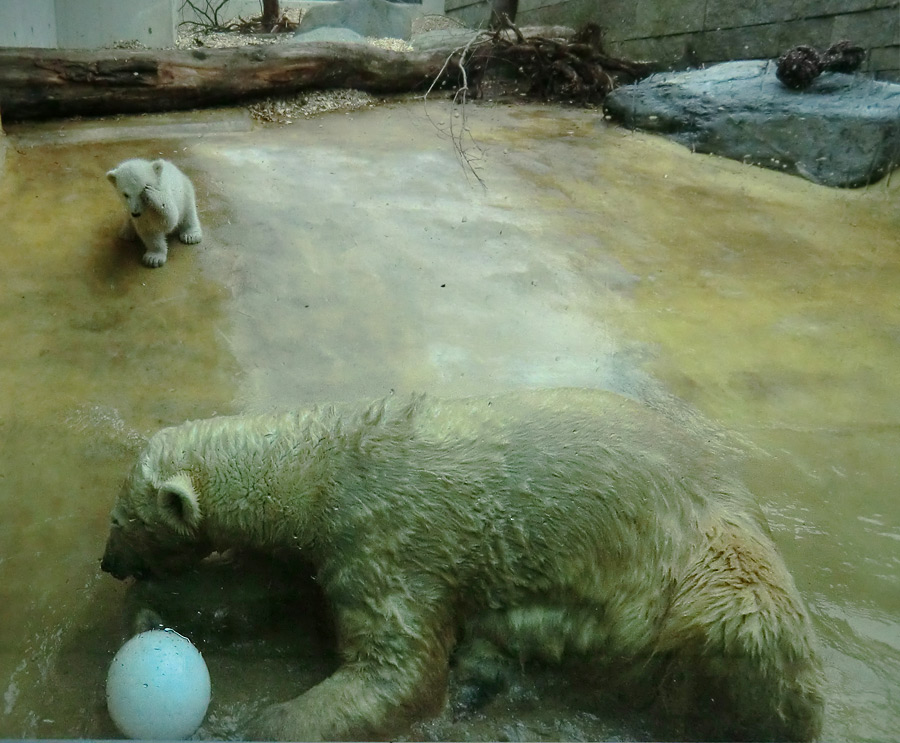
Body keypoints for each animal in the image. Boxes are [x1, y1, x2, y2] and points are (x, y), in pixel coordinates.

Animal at [102, 390, 828, 743]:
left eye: (116, 519)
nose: (109, 564)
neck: (325, 468)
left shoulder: (392, 535)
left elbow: (397, 669)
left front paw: (268, 723)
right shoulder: (321, 550)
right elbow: (258, 590)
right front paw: (156, 609)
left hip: (704, 554)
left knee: (750, 630)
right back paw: (483, 678)